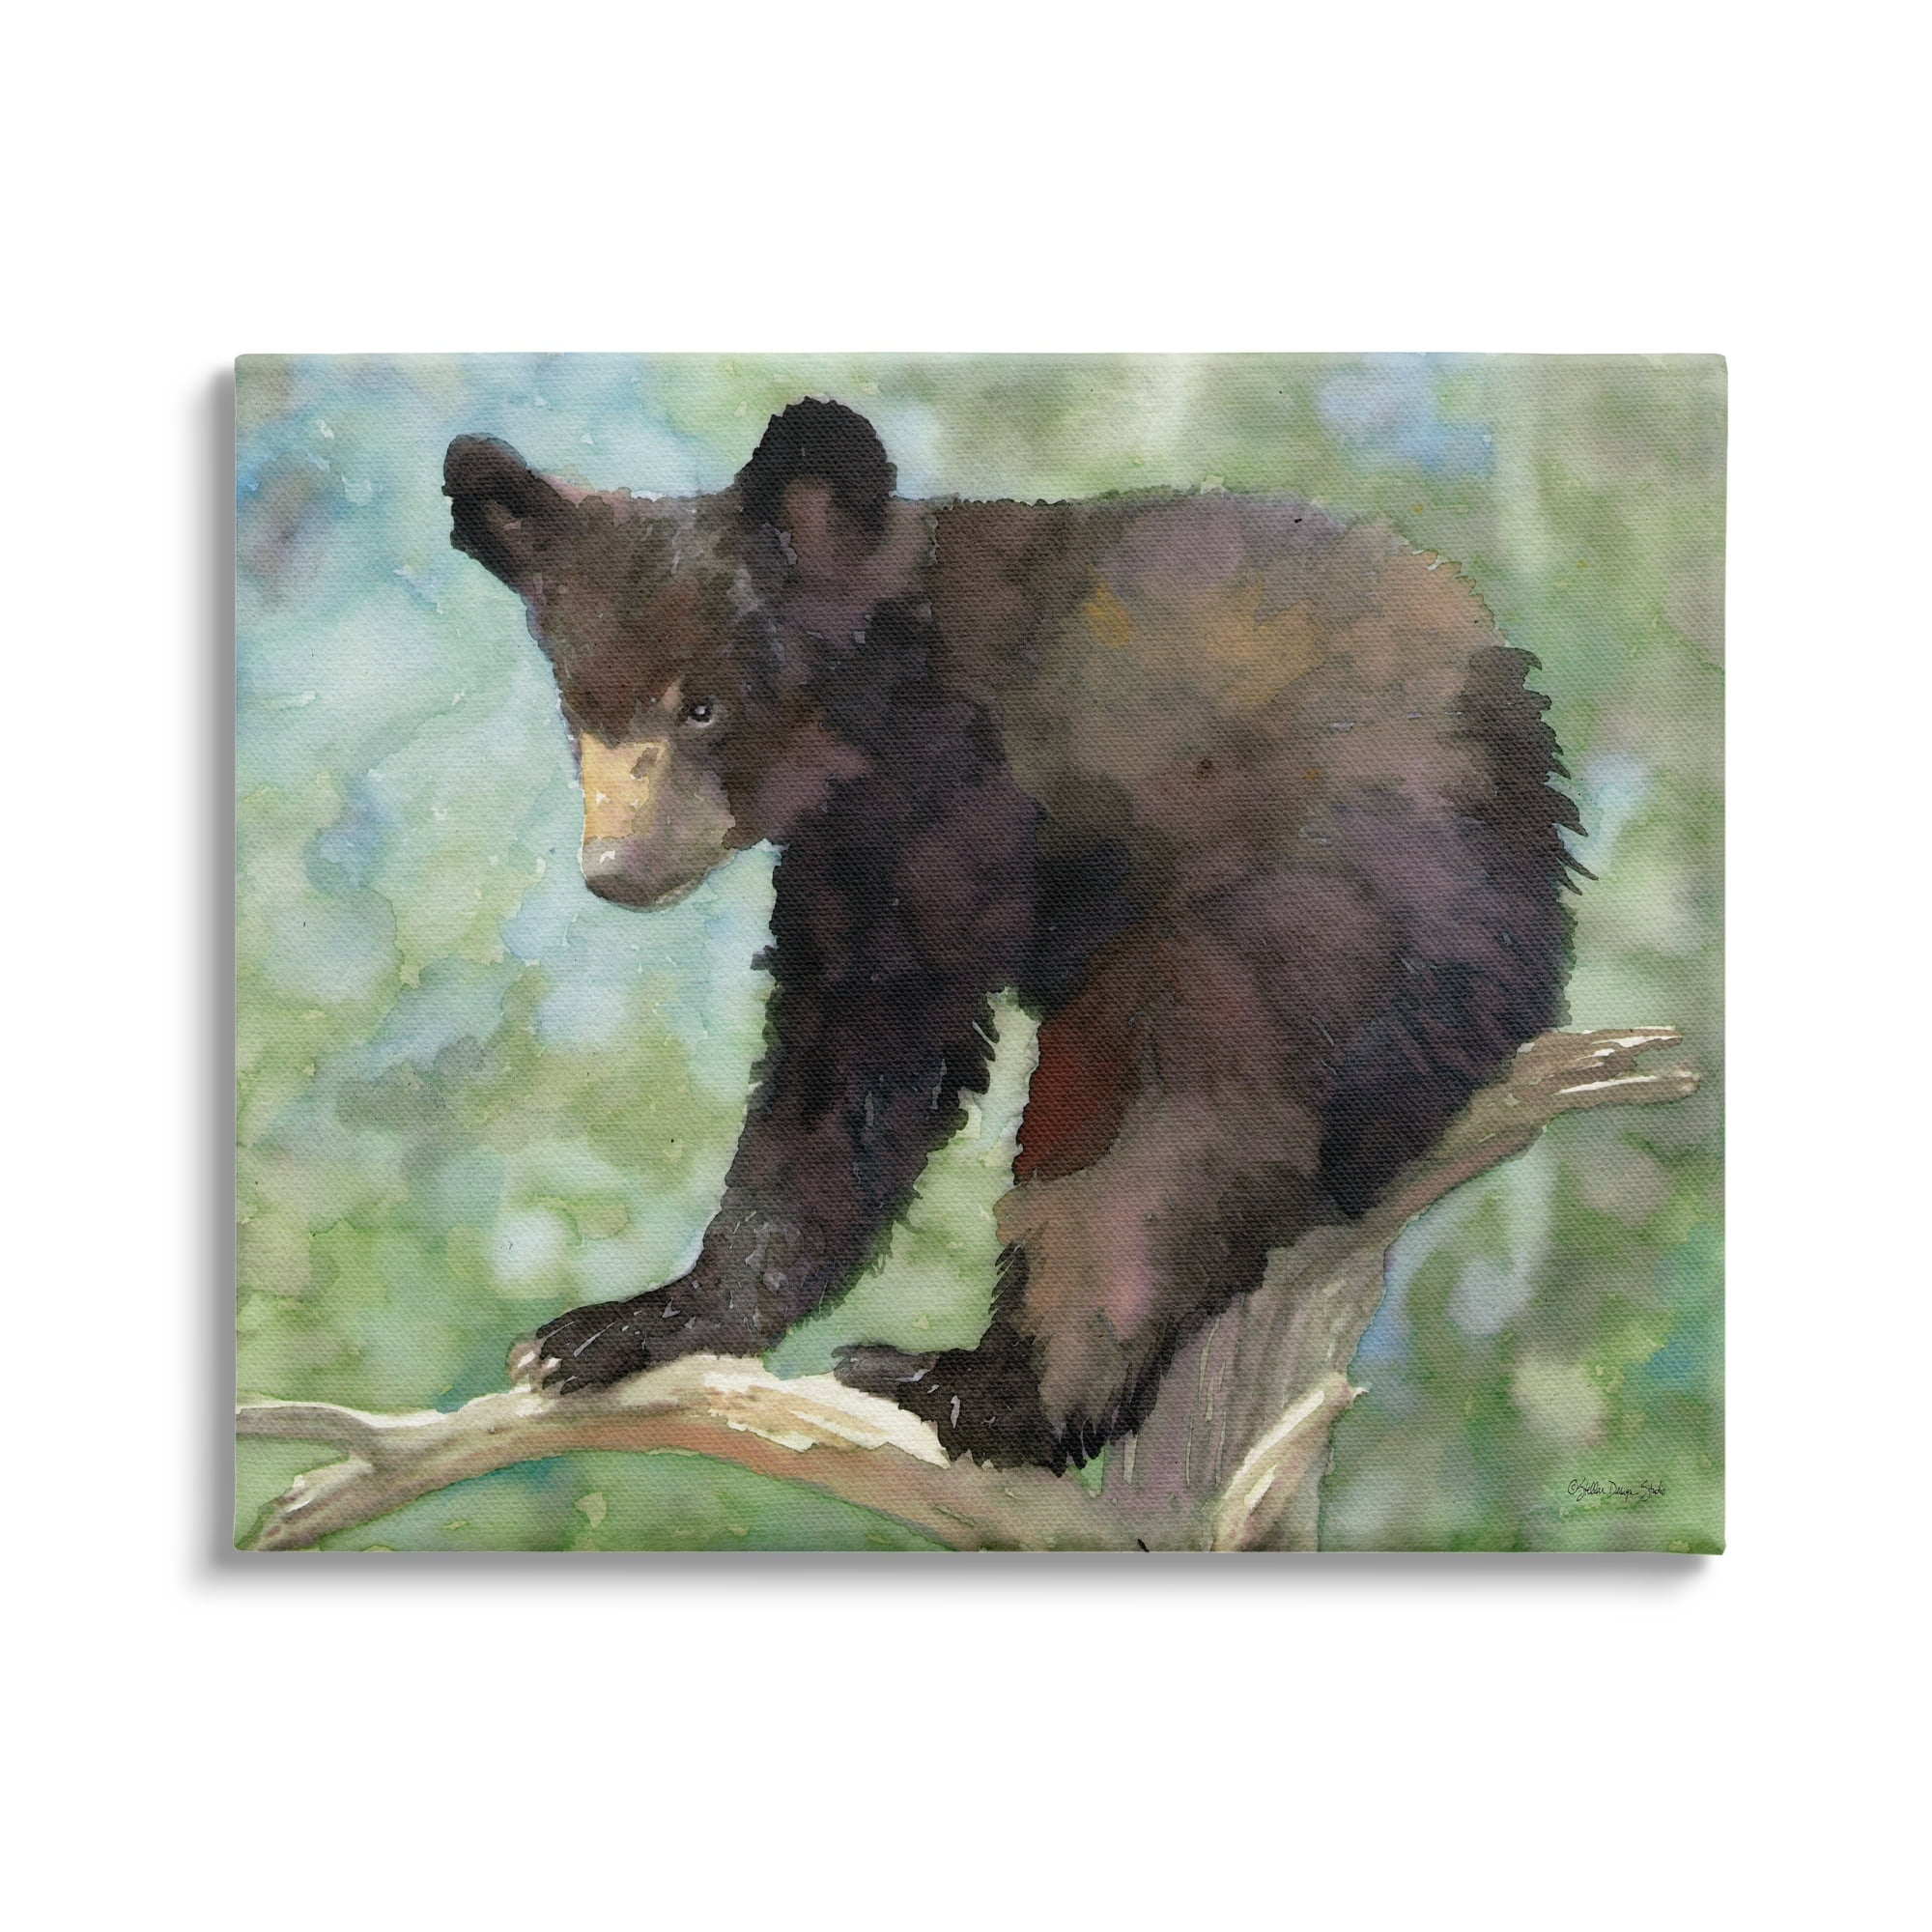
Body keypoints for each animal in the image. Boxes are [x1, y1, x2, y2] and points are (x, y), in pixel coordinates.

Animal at [444, 397, 1578, 1471]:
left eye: (705, 708)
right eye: (581, 712)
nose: (616, 870)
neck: (885, 692)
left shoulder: (963, 797)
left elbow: (885, 1036)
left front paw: (630, 1322)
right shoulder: (847, 843)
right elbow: (842, 1043)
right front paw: (639, 1321)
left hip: (1322, 910)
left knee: (1164, 1129)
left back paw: (981, 1390)